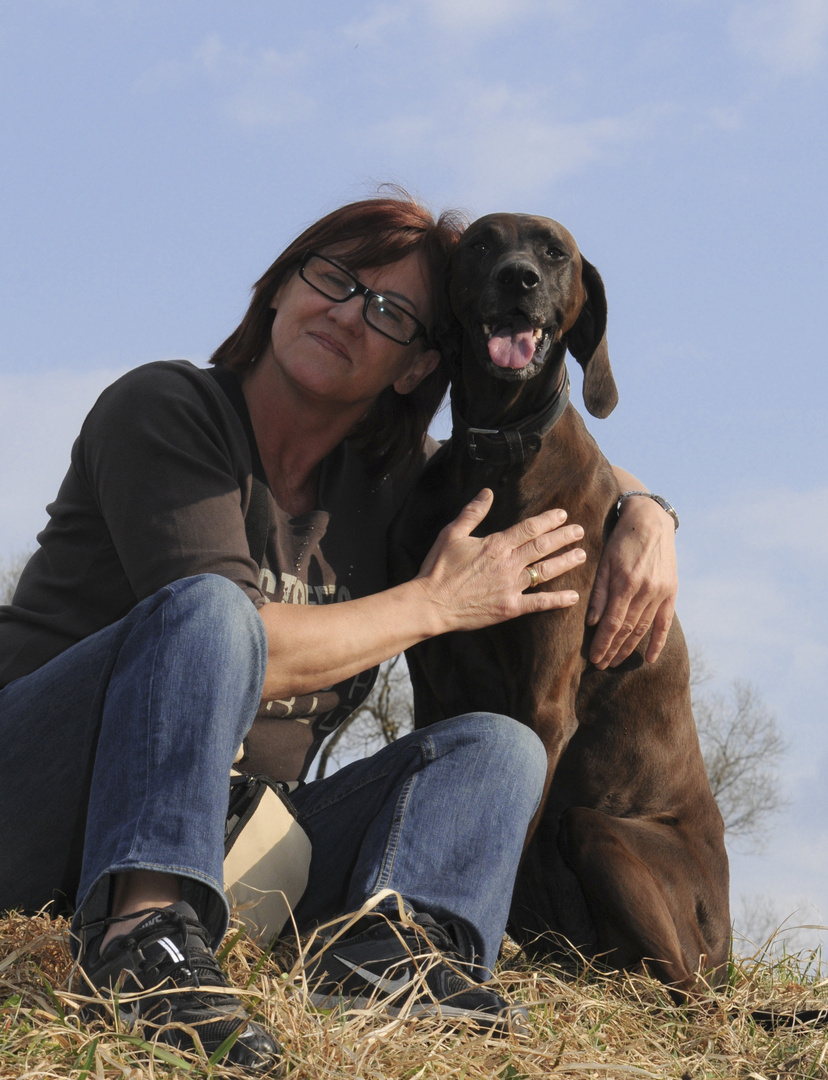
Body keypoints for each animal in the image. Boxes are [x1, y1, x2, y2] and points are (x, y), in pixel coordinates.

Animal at [395, 210, 734, 993]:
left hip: (602, 832)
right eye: (482, 243)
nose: (518, 278)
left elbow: (510, 832)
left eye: (554, 253)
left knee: (683, 987)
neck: (494, 457)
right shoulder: (434, 682)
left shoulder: (546, 699)